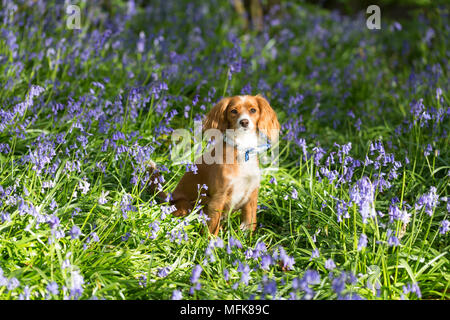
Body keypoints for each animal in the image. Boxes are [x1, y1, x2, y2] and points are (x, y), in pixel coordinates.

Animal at [149, 95, 280, 235]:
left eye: (253, 110)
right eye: (233, 111)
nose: (244, 122)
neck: (242, 148)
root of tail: (169, 198)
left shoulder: (251, 194)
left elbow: (249, 222)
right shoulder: (218, 197)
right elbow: (213, 227)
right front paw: (213, 241)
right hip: (186, 206)